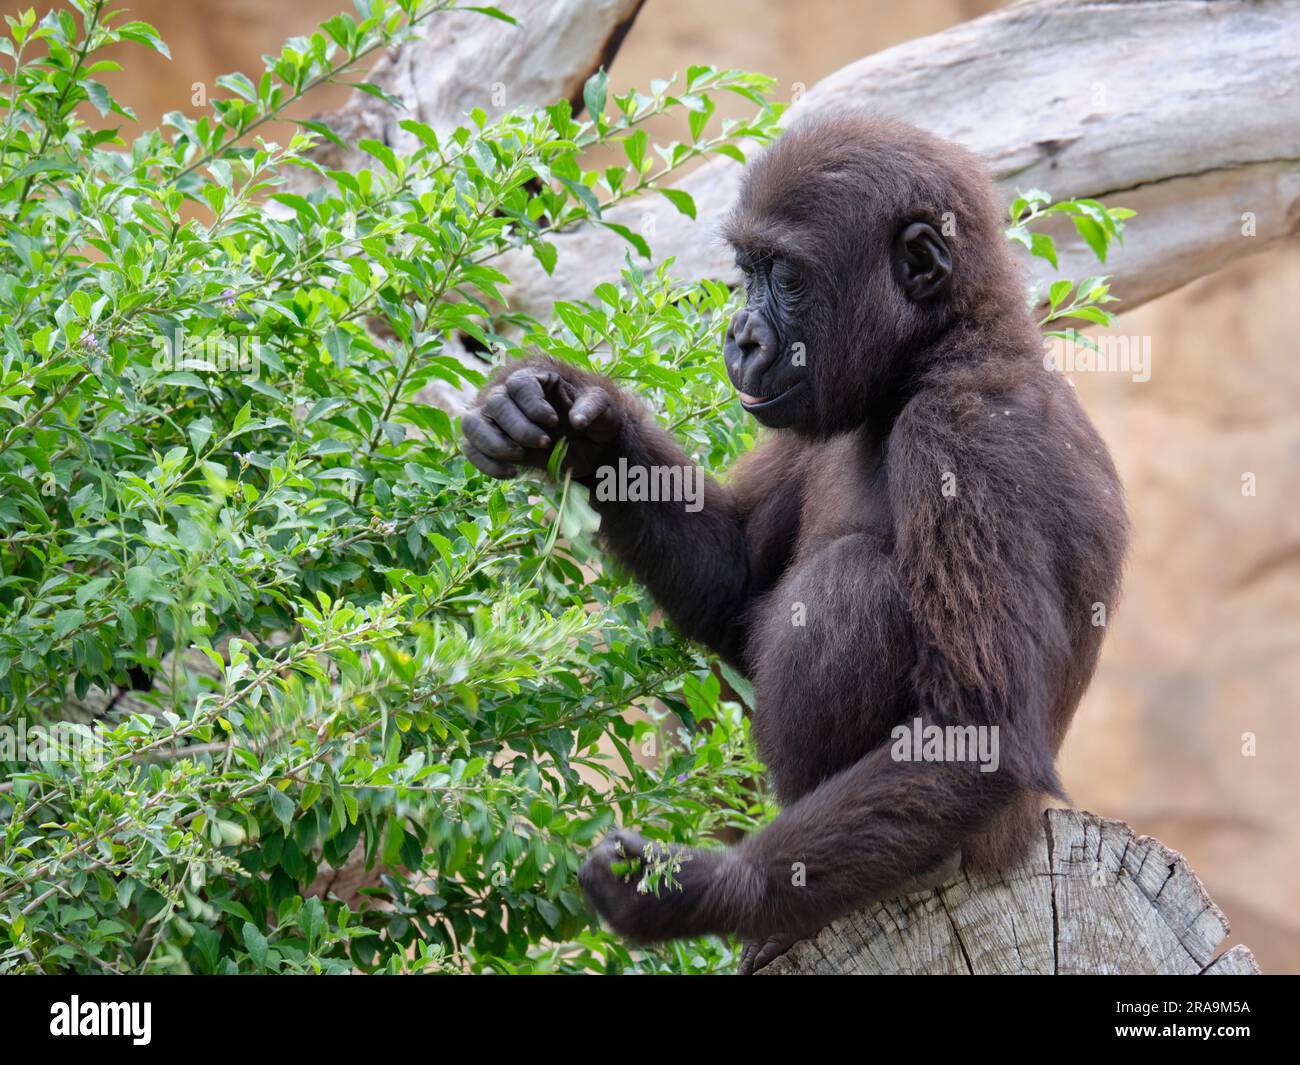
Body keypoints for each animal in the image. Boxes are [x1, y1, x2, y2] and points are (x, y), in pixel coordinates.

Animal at [460, 110, 1128, 972]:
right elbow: (735, 578)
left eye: (784, 274)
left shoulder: (967, 431)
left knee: (853, 585)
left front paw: (706, 888)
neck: (938, 349)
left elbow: (979, 730)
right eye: (746, 270)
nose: (741, 337)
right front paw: (574, 420)